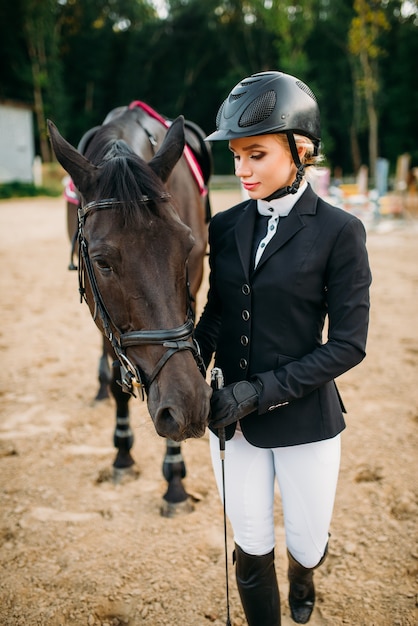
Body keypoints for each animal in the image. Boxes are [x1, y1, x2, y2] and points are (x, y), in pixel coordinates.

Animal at [47, 111, 212, 512]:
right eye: (101, 262)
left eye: (186, 246)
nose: (191, 405)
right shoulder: (100, 312)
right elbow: (119, 379)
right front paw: (122, 455)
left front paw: (175, 481)